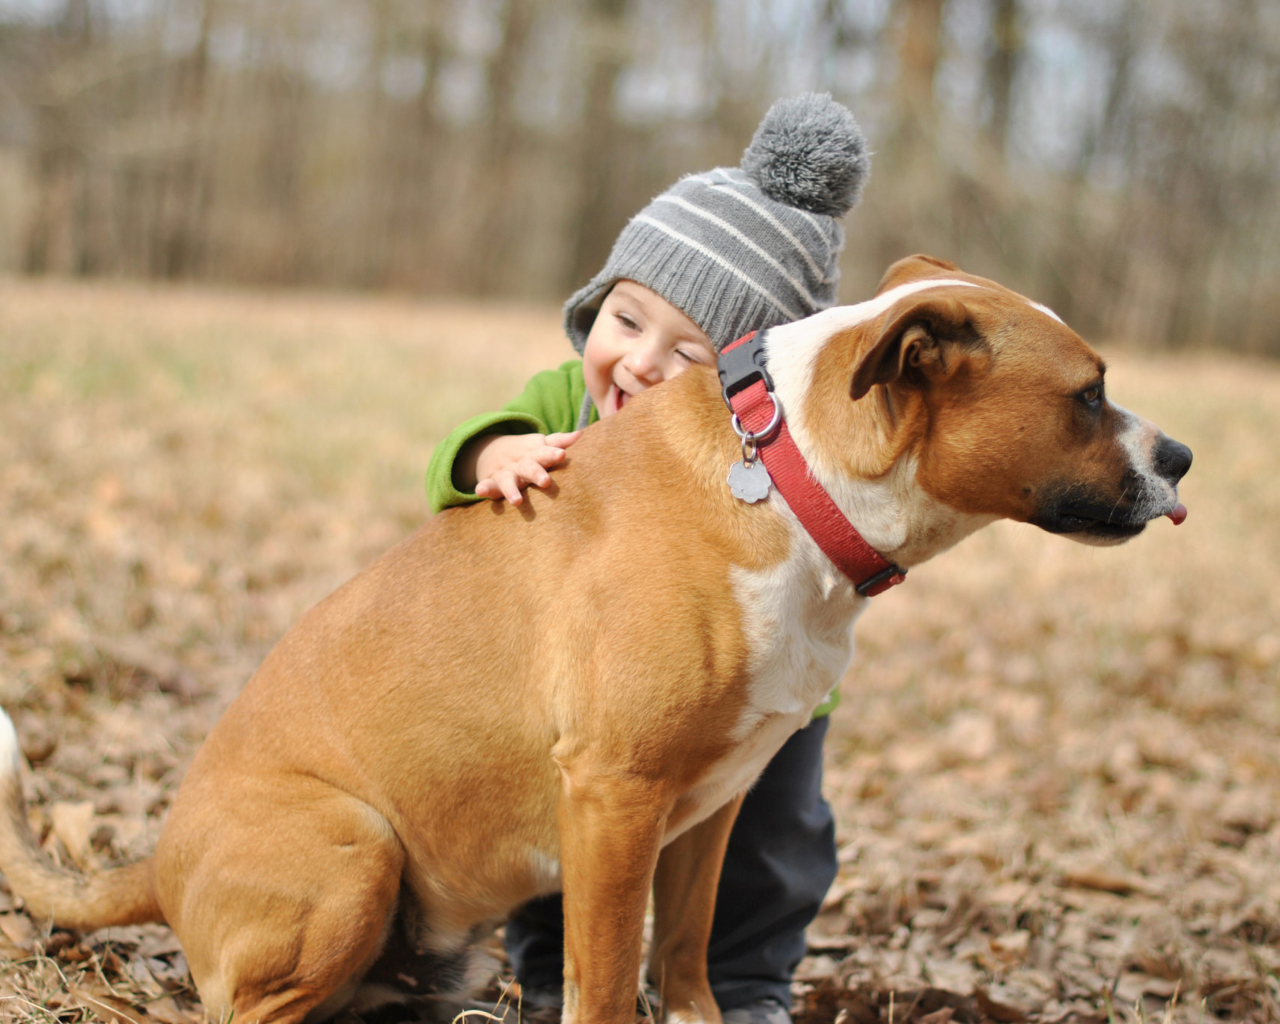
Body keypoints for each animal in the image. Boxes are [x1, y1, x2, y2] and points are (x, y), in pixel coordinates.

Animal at [0, 258, 1187, 1024]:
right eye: (1088, 394)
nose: (1179, 456)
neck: (786, 477)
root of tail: (157, 861)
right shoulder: (615, 798)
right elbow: (611, 979)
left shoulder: (712, 802)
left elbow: (690, 948)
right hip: (354, 847)